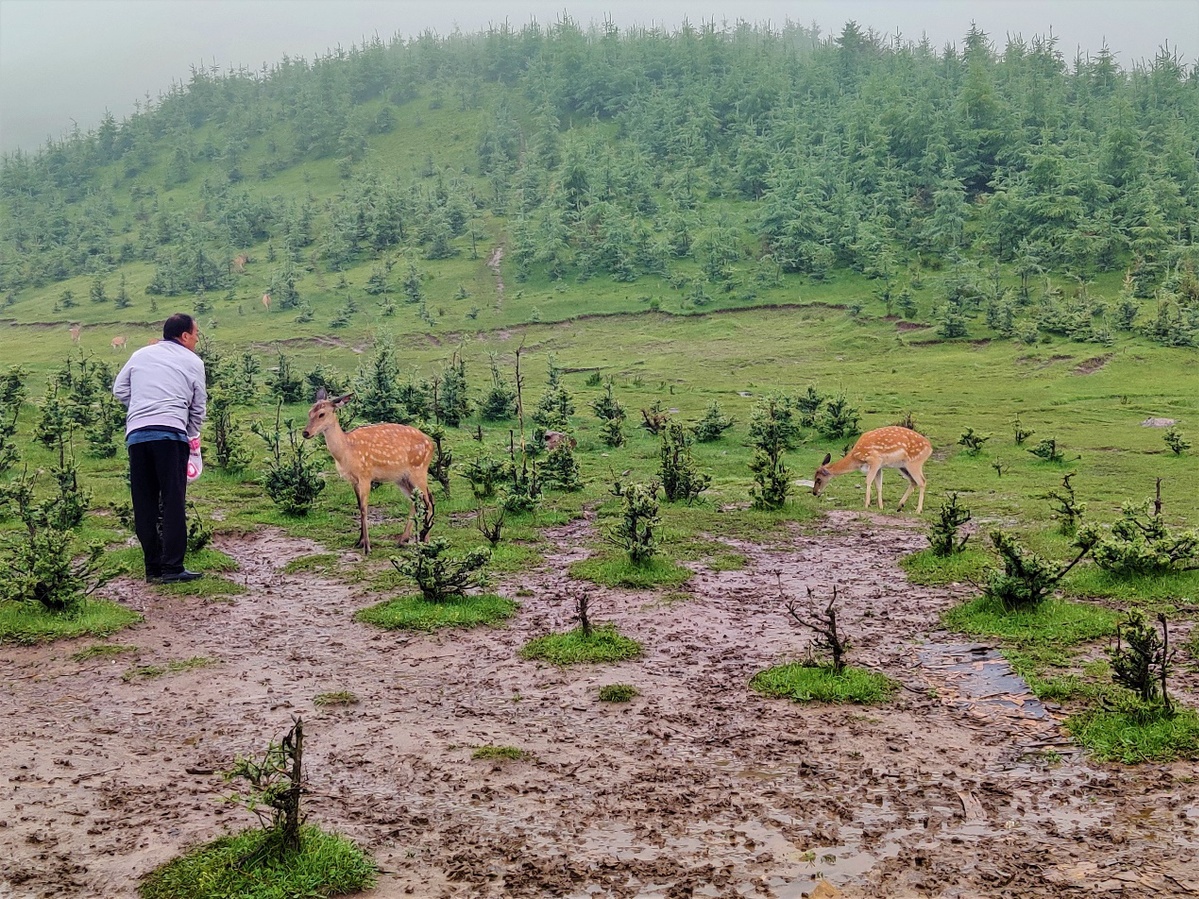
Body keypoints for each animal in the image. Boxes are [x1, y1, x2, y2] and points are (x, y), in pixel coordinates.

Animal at [299, 388, 436, 556]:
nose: (306, 433)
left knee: (429, 501)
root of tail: (432, 444)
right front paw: (359, 541)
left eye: (322, 414)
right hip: (402, 478)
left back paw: (425, 541)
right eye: (309, 412)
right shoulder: (353, 480)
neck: (346, 453)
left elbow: (364, 509)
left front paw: (367, 547)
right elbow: (359, 506)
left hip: (419, 470)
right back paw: (403, 540)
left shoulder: (365, 475)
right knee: (415, 500)